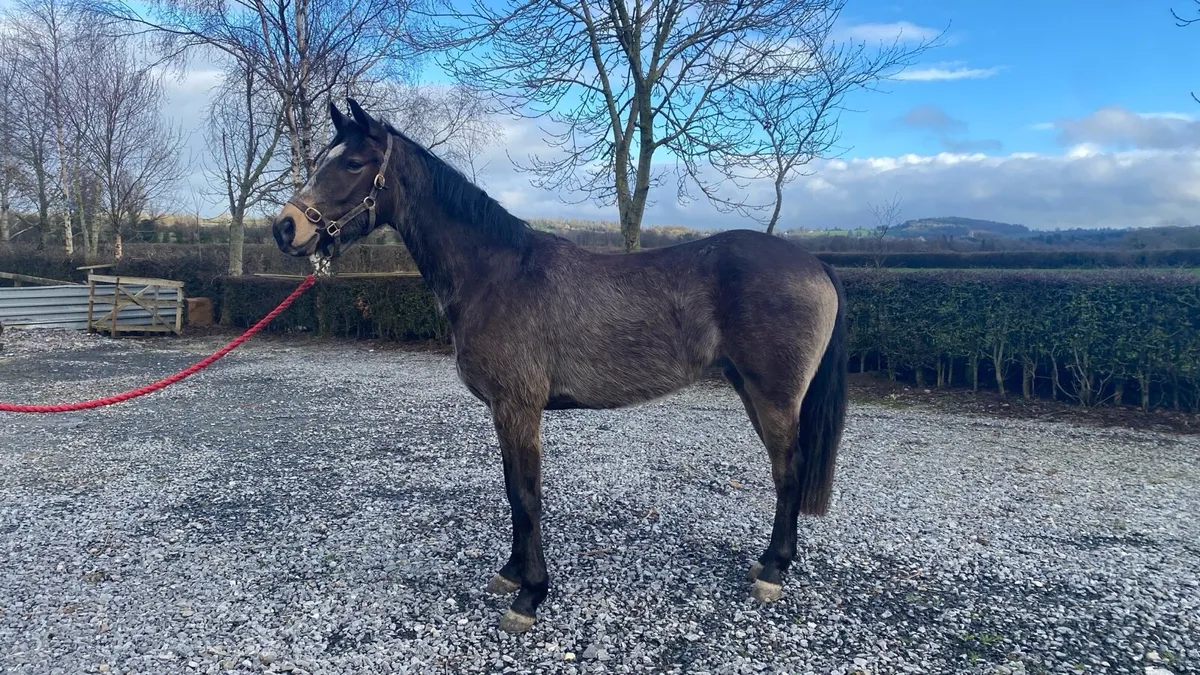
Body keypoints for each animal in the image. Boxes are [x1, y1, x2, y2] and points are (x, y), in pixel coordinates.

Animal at [271, 98, 848, 634]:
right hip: (749, 387)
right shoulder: (505, 412)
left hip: (774, 395)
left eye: (354, 163)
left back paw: (772, 571)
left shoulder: (519, 408)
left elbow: (526, 496)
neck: (496, 274)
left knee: (788, 470)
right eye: (324, 159)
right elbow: (512, 491)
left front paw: (529, 597)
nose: (285, 228)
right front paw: (511, 573)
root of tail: (816, 263)